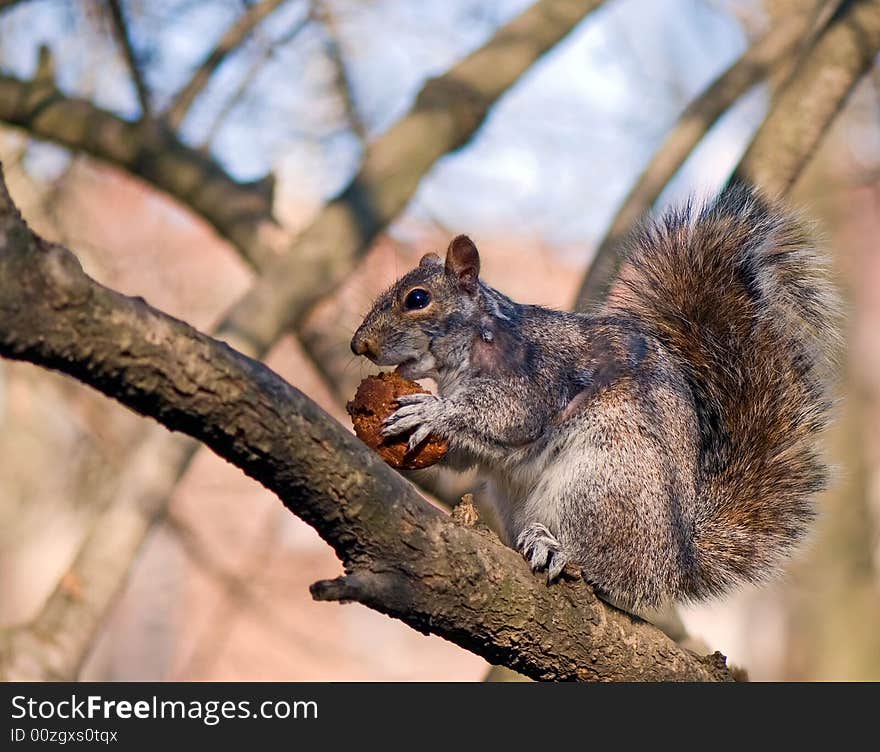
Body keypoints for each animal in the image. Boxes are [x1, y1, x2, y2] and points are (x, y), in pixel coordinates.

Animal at [348, 184, 840, 612]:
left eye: (417, 299)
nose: (359, 345)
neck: (472, 347)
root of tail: (674, 565)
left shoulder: (538, 376)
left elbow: (508, 414)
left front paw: (432, 411)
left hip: (603, 481)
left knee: (609, 571)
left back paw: (556, 549)